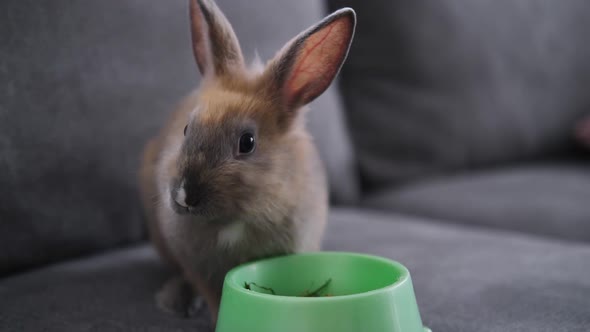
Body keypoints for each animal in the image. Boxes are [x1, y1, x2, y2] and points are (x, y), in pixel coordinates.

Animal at [140, 0, 356, 324]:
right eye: (187, 129)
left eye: (247, 142)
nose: (184, 195)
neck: (234, 221)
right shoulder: (197, 265)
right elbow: (209, 291)